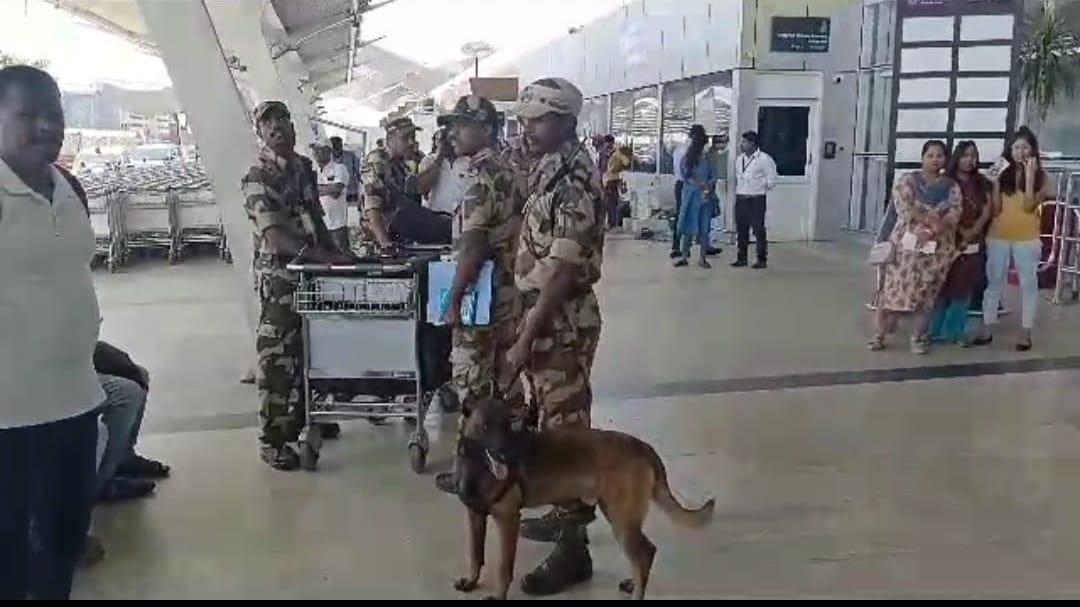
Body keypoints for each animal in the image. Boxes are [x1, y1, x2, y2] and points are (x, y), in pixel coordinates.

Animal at [449, 397, 712, 596]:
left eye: (507, 425)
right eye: (485, 426)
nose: (507, 455)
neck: (477, 466)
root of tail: (643, 447)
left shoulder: (507, 521)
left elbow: (503, 569)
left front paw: (497, 595)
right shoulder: (475, 516)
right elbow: (475, 555)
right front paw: (471, 581)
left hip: (621, 521)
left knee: (643, 555)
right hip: (617, 515)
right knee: (646, 552)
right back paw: (633, 583)